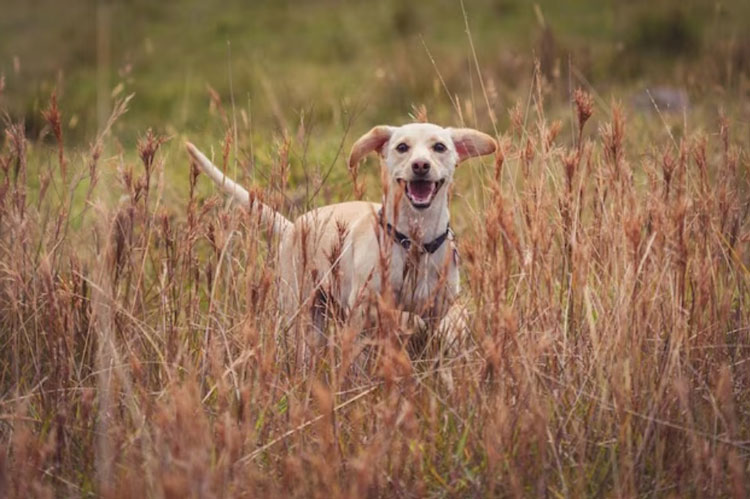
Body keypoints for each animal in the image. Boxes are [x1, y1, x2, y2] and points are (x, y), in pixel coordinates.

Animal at [185, 123, 496, 360]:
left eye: (439, 147)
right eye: (402, 147)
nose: (420, 165)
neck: (414, 244)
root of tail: (293, 225)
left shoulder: (439, 310)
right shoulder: (364, 310)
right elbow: (396, 323)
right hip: (303, 314)